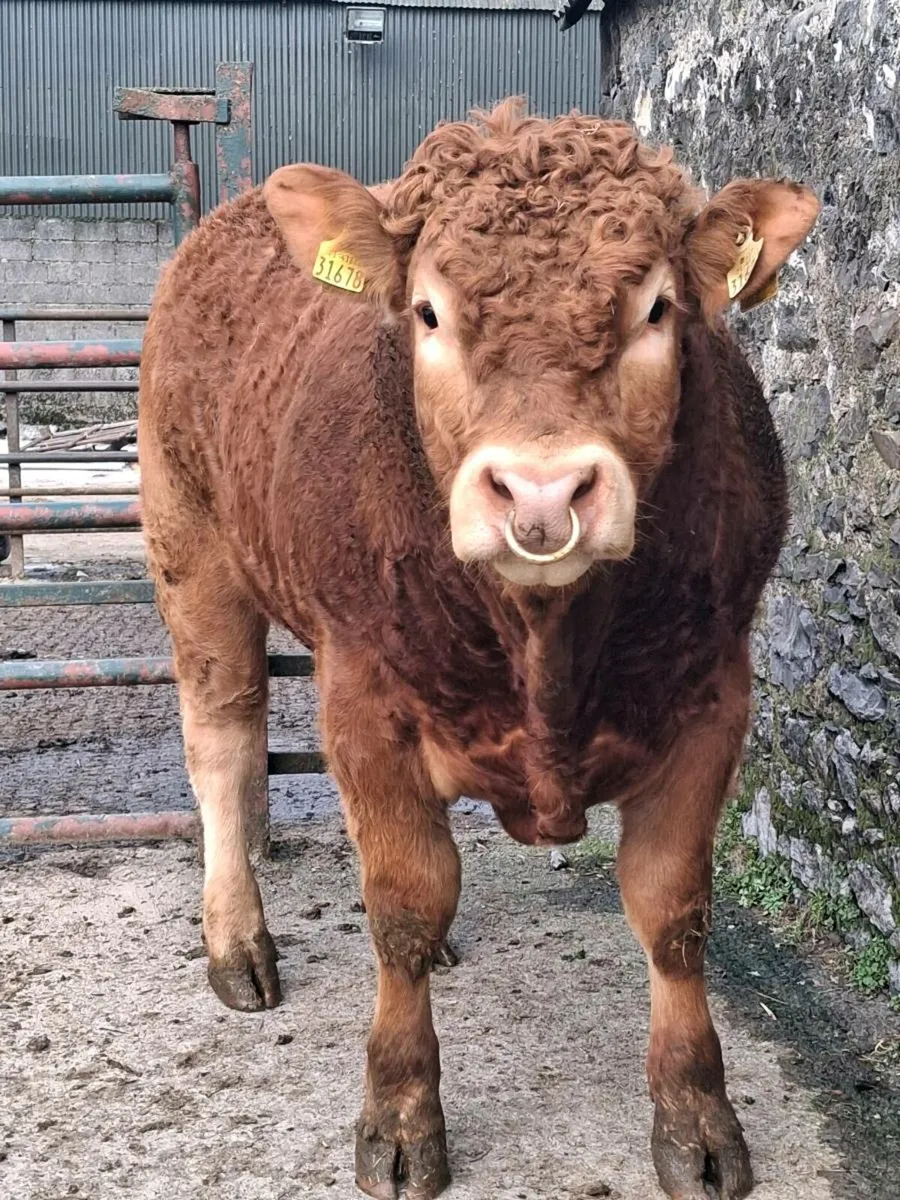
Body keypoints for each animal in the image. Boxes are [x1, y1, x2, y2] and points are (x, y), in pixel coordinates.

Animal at [137, 100, 819, 1200]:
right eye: (427, 313)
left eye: (659, 309)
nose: (542, 492)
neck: (546, 643)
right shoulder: (364, 701)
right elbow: (403, 906)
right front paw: (401, 1117)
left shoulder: (715, 695)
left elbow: (673, 911)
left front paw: (698, 1119)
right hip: (189, 551)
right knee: (225, 749)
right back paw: (237, 942)